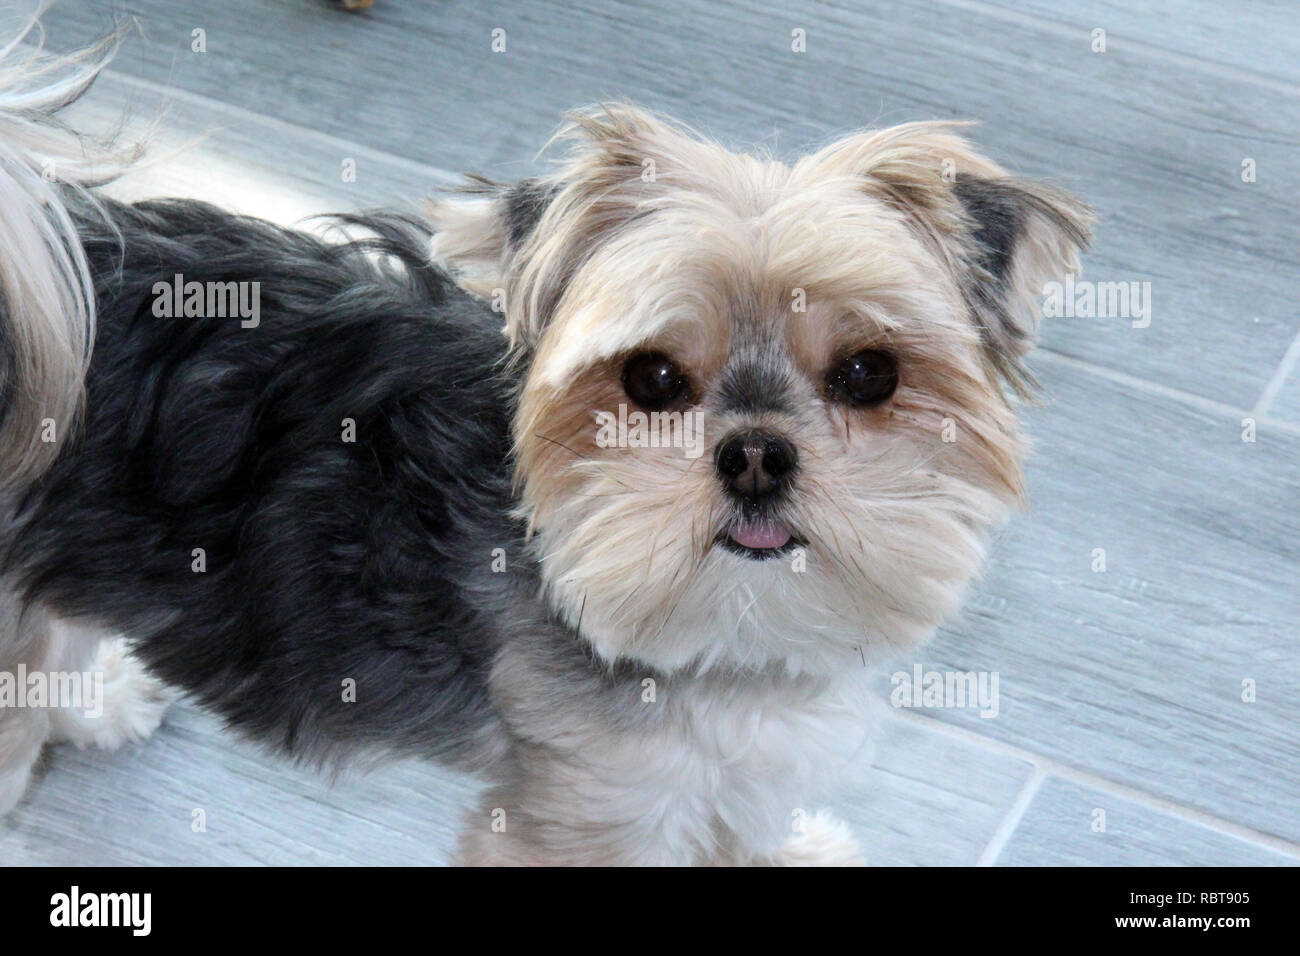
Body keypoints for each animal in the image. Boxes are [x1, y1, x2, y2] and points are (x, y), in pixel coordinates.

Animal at [0, 31, 1086, 868]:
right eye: (651, 379)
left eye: (868, 373)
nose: (756, 455)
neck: (727, 637)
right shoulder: (590, 806)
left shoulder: (724, 772)